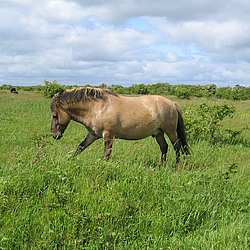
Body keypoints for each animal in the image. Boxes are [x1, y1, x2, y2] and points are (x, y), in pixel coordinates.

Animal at [50, 87, 189, 163]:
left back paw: (176, 165)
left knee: (177, 147)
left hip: (170, 132)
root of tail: (172, 103)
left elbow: (106, 154)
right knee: (164, 147)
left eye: (55, 115)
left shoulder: (108, 136)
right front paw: (70, 160)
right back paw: (161, 166)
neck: (98, 108)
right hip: (158, 133)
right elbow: (80, 148)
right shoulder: (93, 135)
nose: (54, 135)